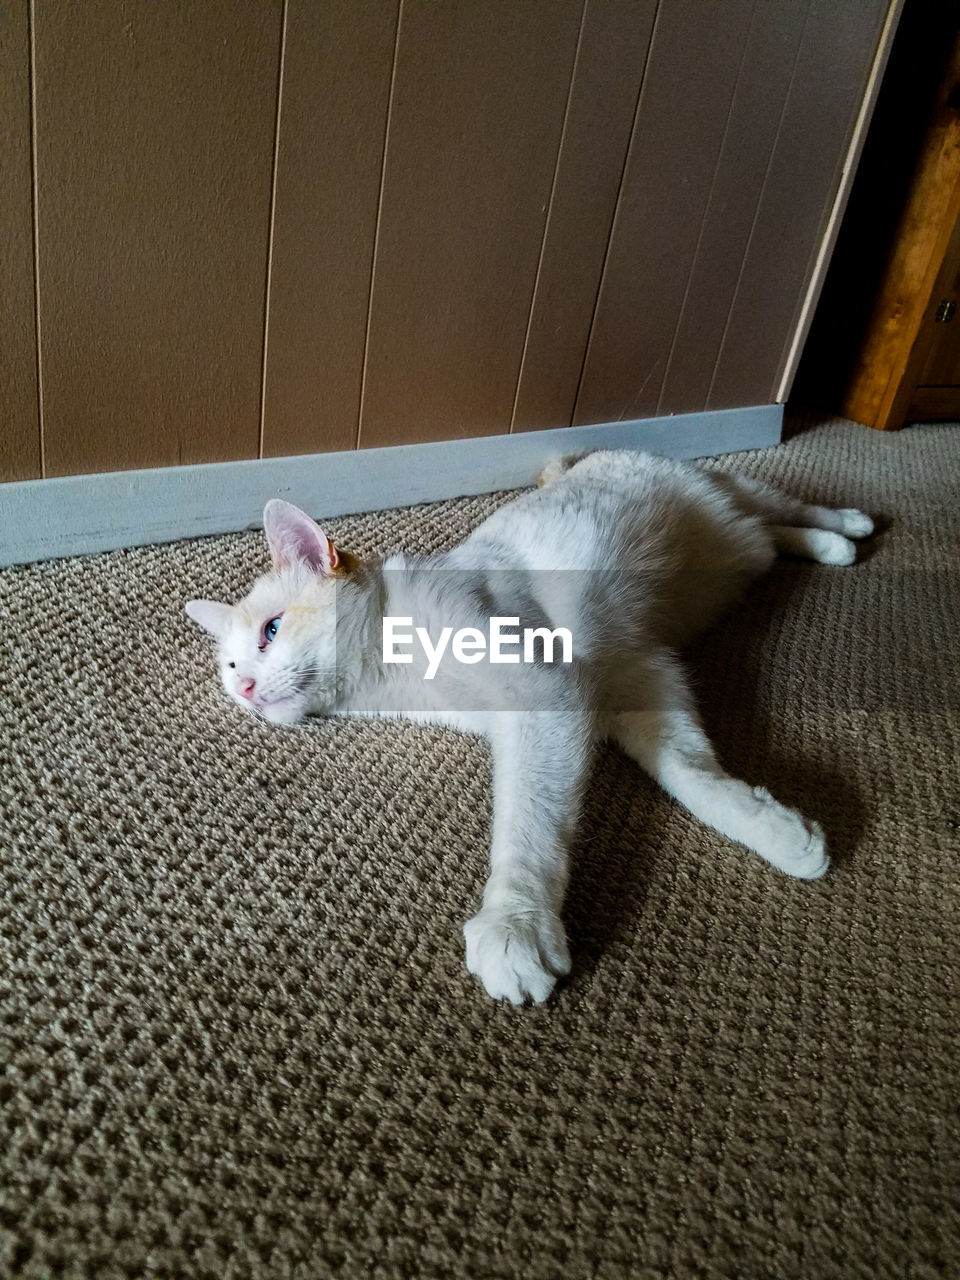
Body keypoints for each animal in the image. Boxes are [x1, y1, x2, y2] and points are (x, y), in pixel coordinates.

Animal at [184, 455, 875, 1003]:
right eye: (230, 666)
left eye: (271, 631)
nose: (245, 692)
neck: (396, 671)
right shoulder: (636, 680)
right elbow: (691, 772)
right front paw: (778, 830)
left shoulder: (548, 695)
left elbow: (529, 823)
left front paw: (515, 926)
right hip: (734, 545)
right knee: (765, 536)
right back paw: (823, 546)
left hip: (727, 486)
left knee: (782, 504)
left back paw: (849, 529)